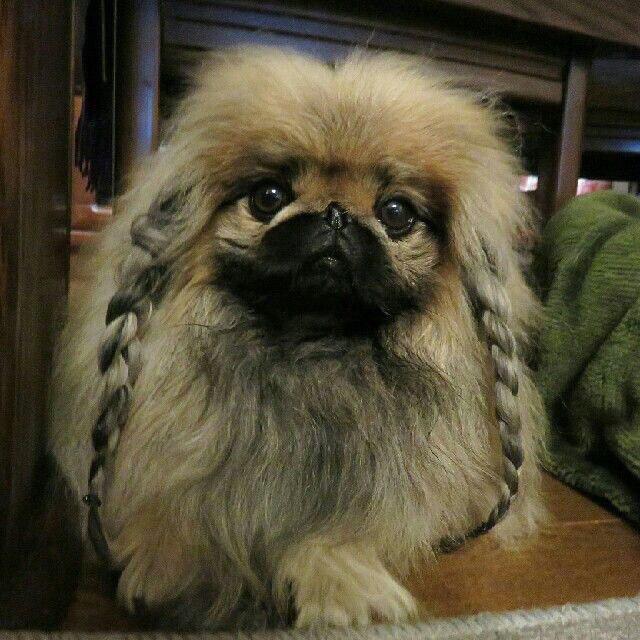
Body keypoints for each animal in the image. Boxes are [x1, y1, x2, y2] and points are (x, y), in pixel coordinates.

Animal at [52, 47, 548, 628]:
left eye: (396, 213)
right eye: (269, 196)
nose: (335, 215)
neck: (310, 347)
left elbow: (335, 532)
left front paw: (339, 580)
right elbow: (182, 508)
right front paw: (168, 562)